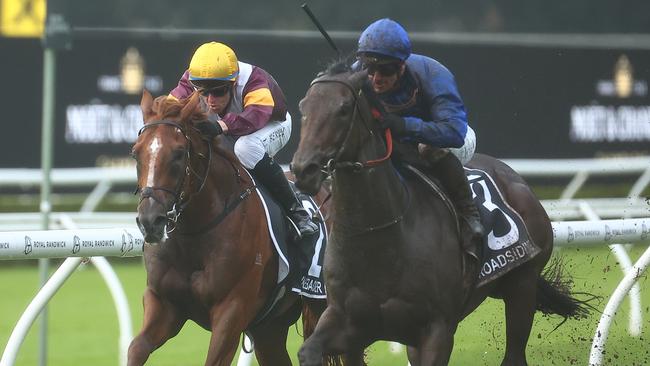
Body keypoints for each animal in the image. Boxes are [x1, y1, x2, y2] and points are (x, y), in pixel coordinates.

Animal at [128, 89, 330, 366]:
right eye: (136, 153)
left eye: (179, 153)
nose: (150, 220)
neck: (194, 234)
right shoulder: (163, 302)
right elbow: (136, 348)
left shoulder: (232, 309)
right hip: (270, 327)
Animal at [288, 66, 588, 366]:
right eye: (304, 107)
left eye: (343, 108)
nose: (303, 169)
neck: (380, 237)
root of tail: (518, 181)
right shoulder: (349, 324)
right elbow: (308, 350)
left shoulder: (437, 330)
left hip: (522, 286)